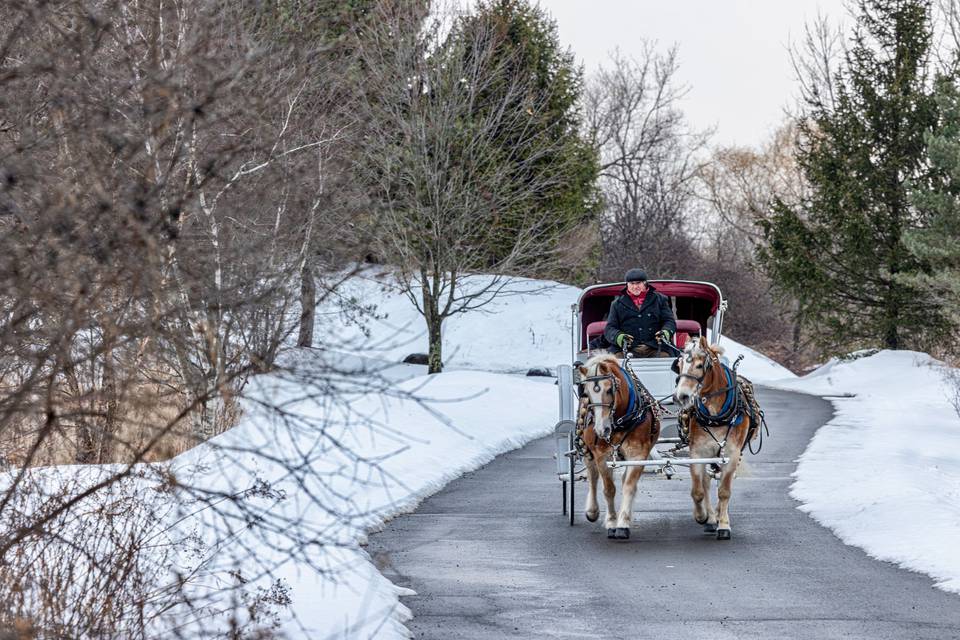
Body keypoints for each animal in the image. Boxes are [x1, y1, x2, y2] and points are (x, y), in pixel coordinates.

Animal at [576, 353, 661, 539]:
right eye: (586, 393)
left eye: (609, 390)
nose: (602, 429)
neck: (620, 421)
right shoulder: (601, 456)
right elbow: (608, 489)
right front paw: (611, 522)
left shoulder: (638, 455)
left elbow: (629, 486)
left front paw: (623, 523)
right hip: (587, 451)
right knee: (592, 477)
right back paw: (592, 511)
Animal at [672, 336, 761, 540]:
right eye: (679, 365)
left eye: (699, 365)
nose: (681, 396)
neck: (715, 413)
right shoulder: (697, 453)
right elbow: (698, 490)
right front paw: (703, 516)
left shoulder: (732, 454)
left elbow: (724, 491)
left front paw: (724, 525)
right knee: (706, 481)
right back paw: (711, 517)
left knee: (720, 480)